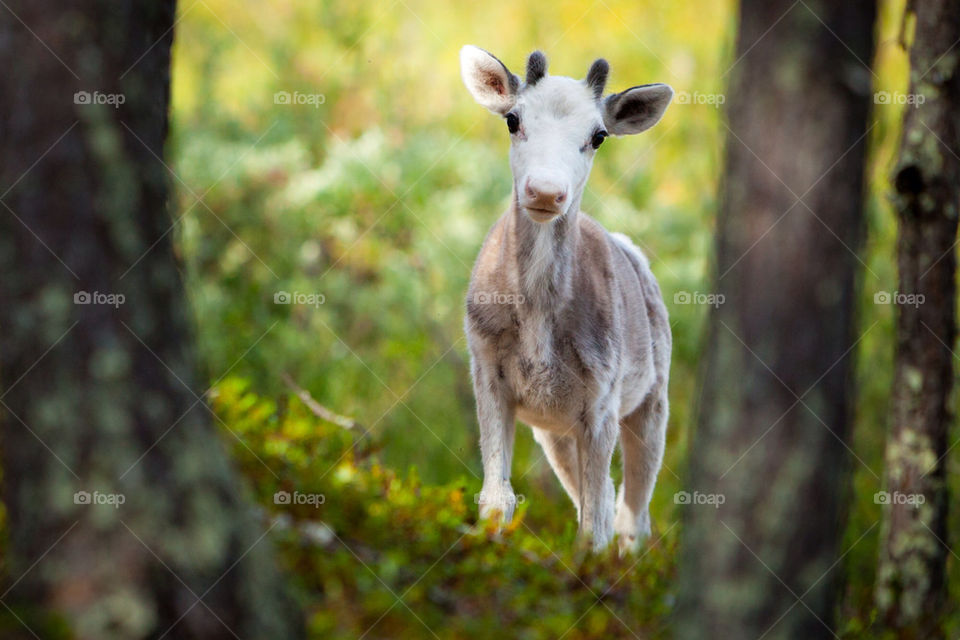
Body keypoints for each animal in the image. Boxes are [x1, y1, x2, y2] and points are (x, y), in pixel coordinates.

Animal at [462, 47, 672, 552]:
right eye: (512, 119)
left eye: (598, 136)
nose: (545, 191)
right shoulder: (485, 366)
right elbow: (496, 498)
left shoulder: (602, 395)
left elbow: (593, 527)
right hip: (553, 430)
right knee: (606, 497)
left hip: (654, 397)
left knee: (631, 514)